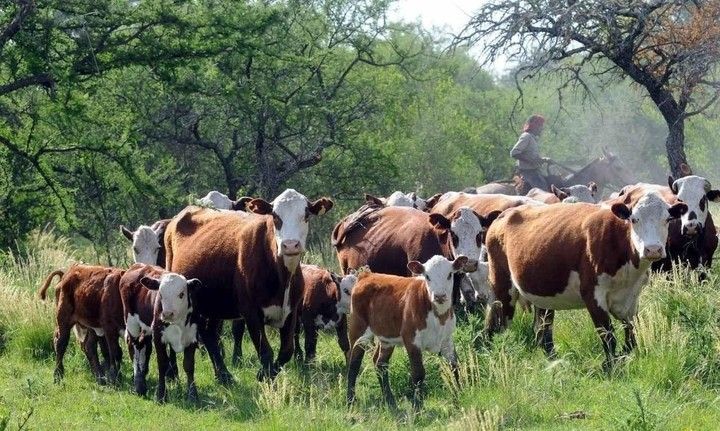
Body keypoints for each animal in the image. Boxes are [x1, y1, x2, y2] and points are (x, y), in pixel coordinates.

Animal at [165, 187, 334, 384]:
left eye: (306, 214)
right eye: (275, 216)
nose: (290, 245)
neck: (281, 277)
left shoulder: (291, 310)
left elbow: (286, 351)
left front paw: (265, 373)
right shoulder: (251, 312)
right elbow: (266, 352)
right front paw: (265, 377)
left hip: (214, 303)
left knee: (209, 335)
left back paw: (223, 375)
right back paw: (172, 374)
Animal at [348, 256, 470, 412]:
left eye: (449, 275)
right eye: (427, 276)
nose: (440, 296)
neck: (438, 316)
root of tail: (366, 275)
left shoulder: (447, 340)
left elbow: (455, 368)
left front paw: (458, 398)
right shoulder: (411, 339)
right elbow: (418, 373)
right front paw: (417, 407)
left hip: (387, 338)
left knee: (380, 363)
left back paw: (390, 401)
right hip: (358, 330)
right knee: (354, 363)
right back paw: (350, 401)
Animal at [484, 193, 688, 372]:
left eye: (667, 219)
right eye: (634, 219)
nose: (653, 249)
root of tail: (503, 215)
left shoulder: (632, 297)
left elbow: (632, 337)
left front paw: (620, 359)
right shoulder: (593, 294)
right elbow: (608, 335)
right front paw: (610, 367)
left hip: (543, 293)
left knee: (542, 332)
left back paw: (555, 363)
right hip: (502, 287)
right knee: (498, 325)